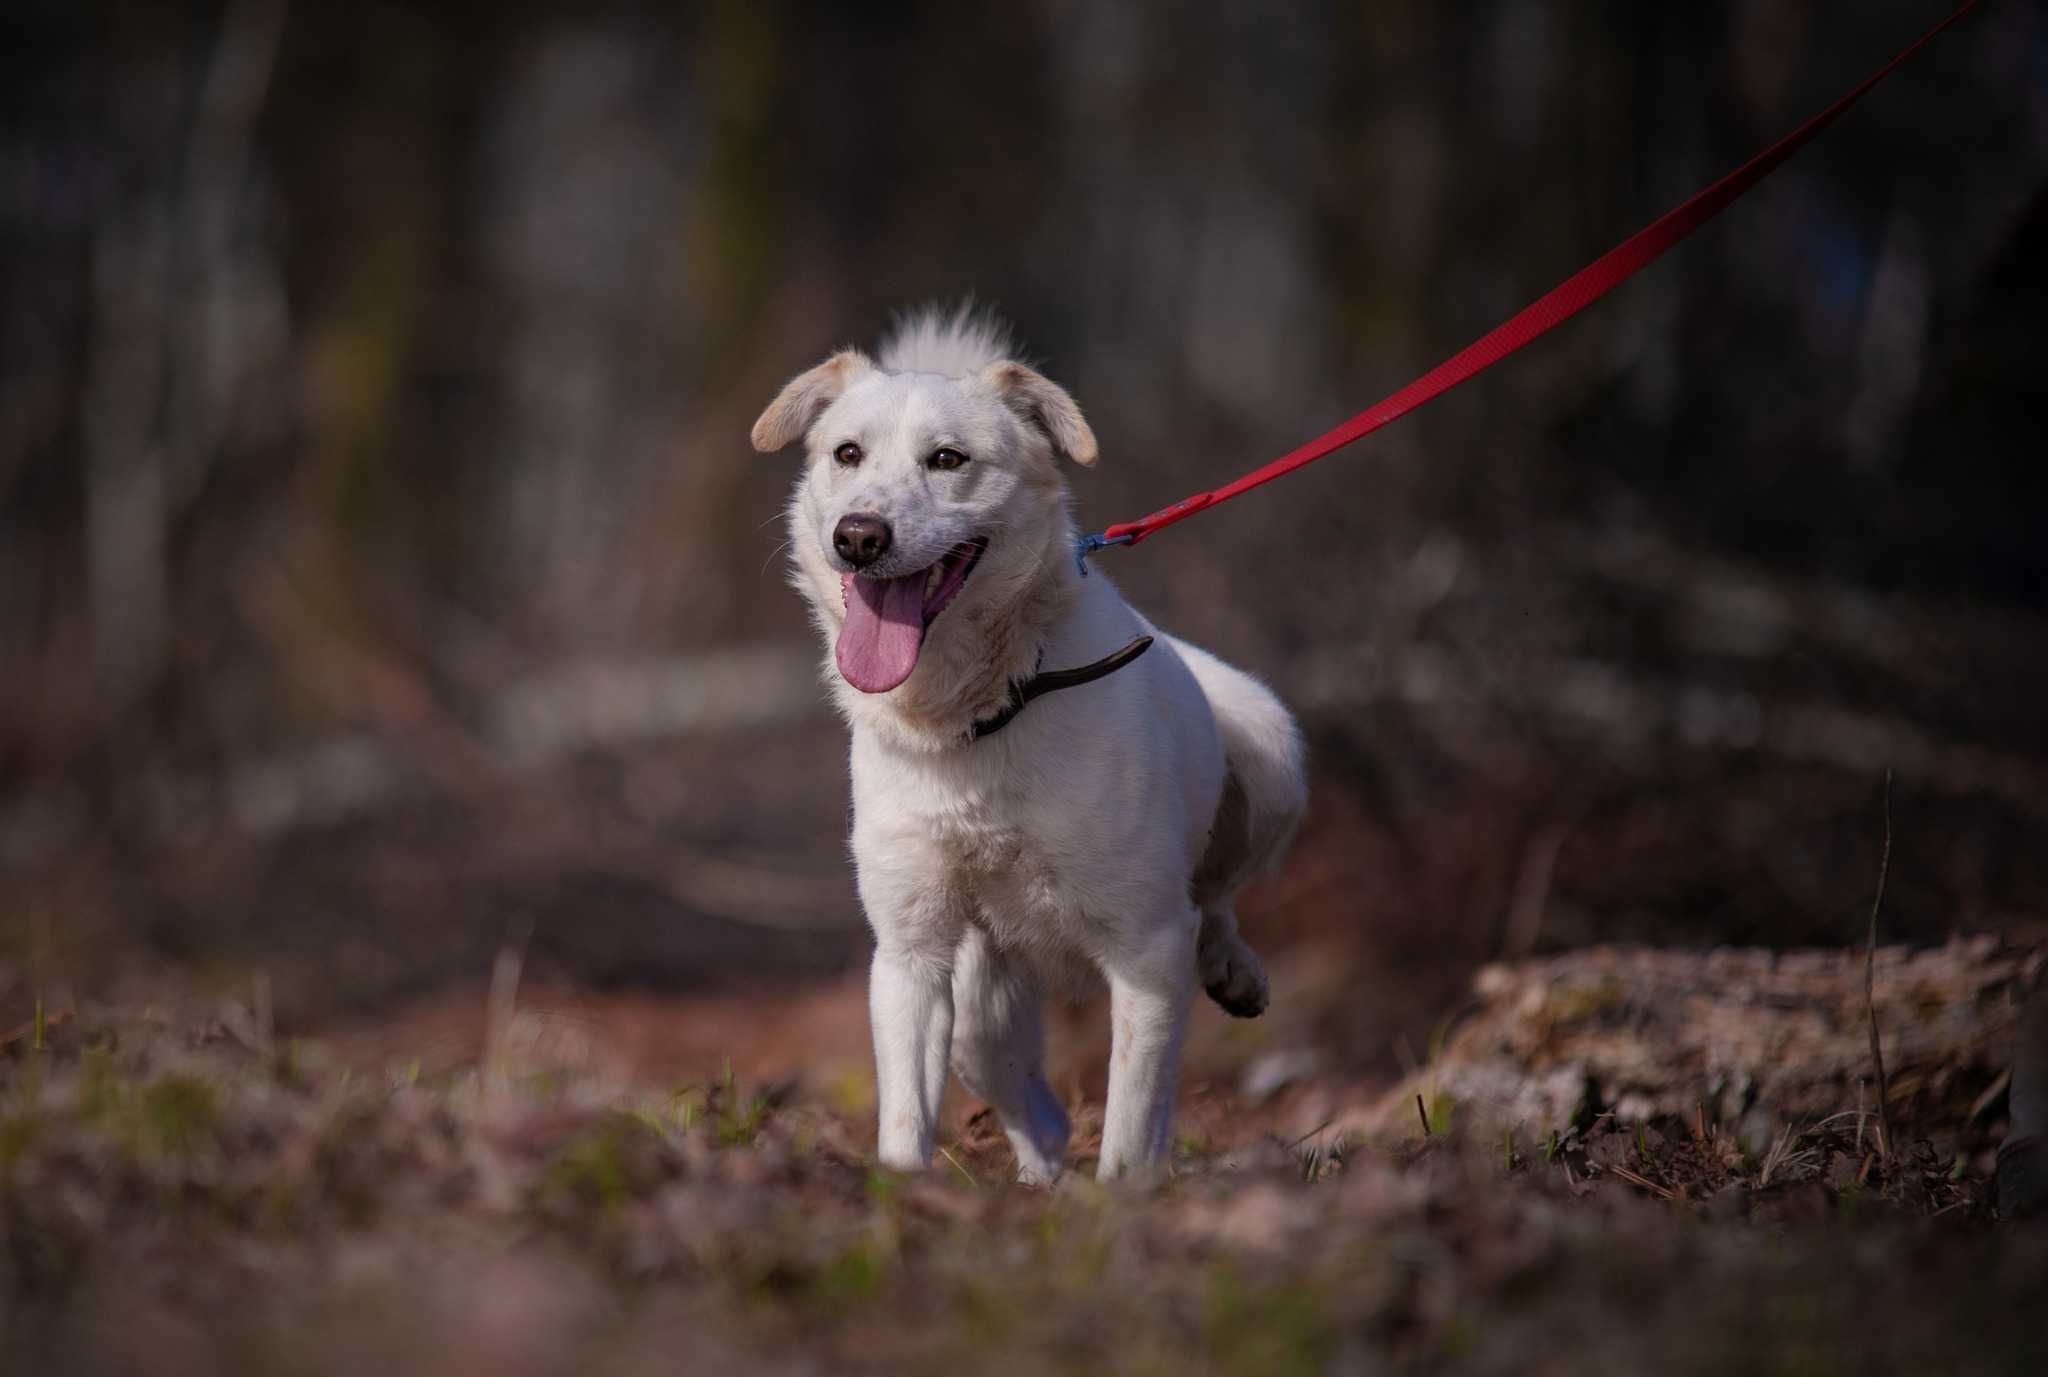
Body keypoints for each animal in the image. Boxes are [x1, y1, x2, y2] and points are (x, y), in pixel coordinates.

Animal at [745, 307, 1302, 1180]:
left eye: (948, 459)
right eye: (847, 453)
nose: (859, 536)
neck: (980, 713)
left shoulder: (1146, 947)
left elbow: (1130, 1123)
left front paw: (1122, 1195)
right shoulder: (909, 951)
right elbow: (904, 1117)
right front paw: (906, 1190)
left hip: (1273, 752)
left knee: (1214, 901)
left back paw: (1232, 967)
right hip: (978, 1006)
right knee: (1034, 1106)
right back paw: (1040, 1176)